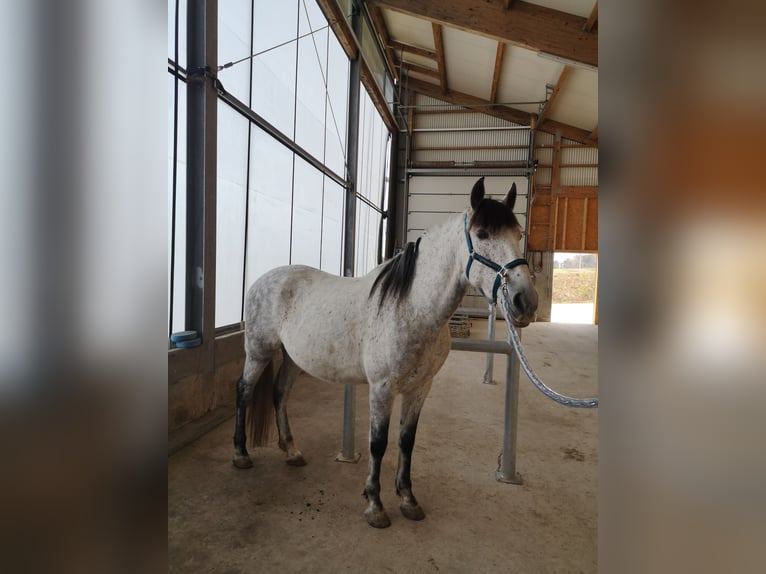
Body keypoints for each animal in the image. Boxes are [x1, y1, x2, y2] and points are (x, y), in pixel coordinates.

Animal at [232, 177, 538, 528]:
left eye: (518, 234)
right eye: (483, 234)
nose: (525, 301)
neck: (412, 307)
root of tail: (264, 279)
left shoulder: (420, 387)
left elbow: (407, 440)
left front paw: (408, 499)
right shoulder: (382, 388)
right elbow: (378, 443)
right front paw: (375, 504)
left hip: (294, 358)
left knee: (279, 393)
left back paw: (292, 451)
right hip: (259, 350)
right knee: (244, 390)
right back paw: (241, 454)